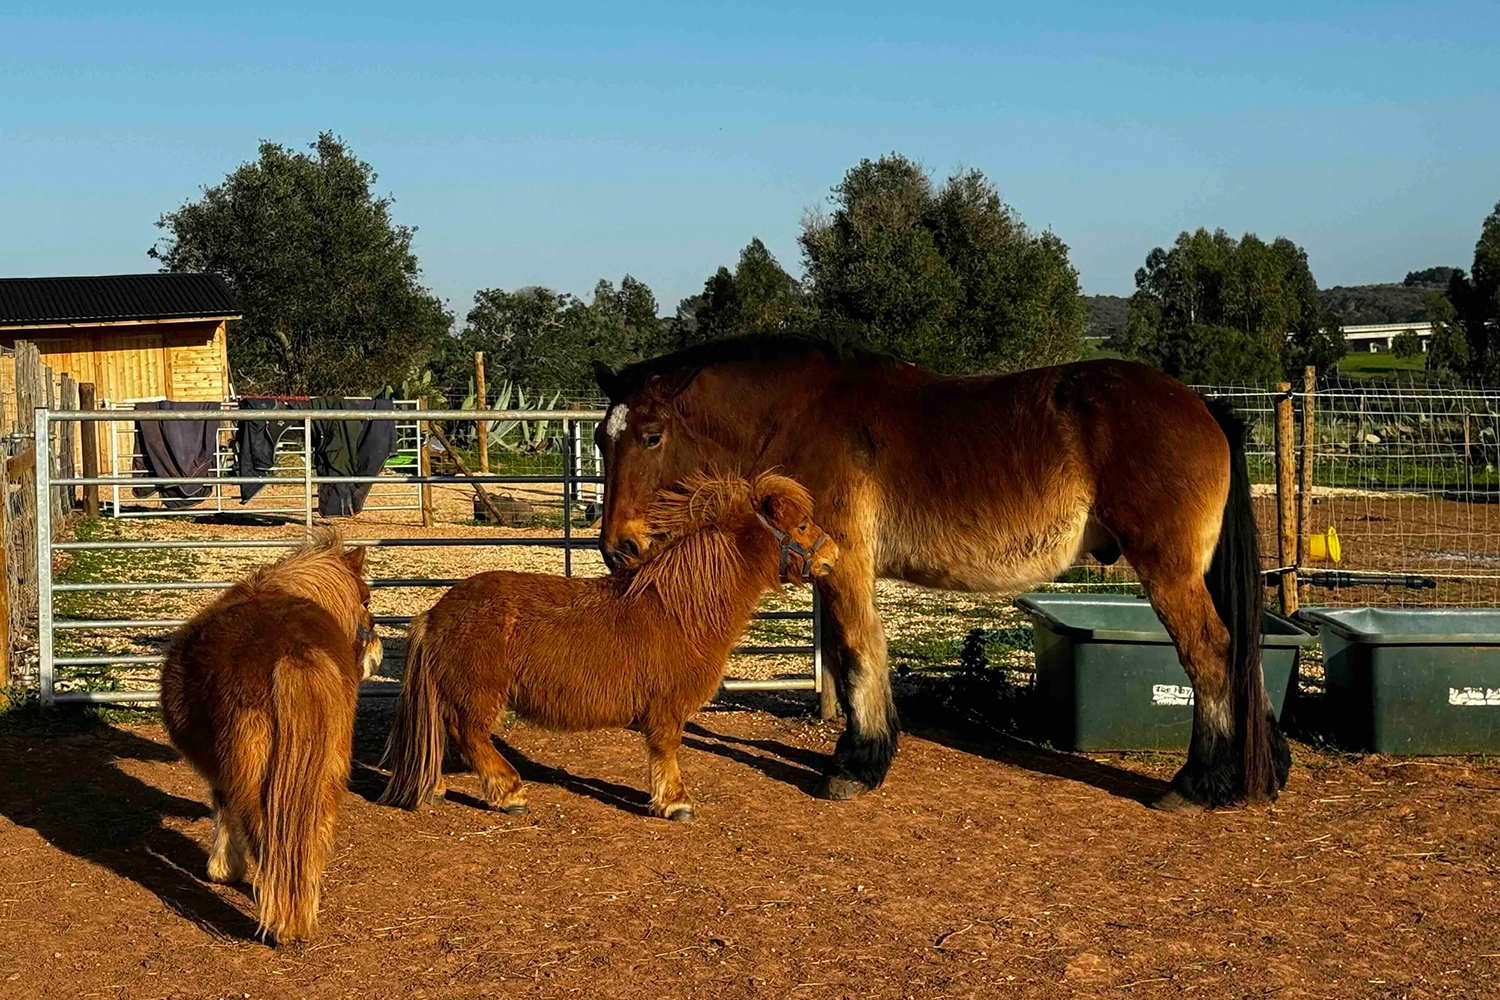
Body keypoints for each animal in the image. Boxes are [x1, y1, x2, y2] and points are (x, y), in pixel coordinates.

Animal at [160, 530, 383, 944]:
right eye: (365, 600)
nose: (375, 655)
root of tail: (295, 651)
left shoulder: (224, 772)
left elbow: (224, 808)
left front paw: (222, 869)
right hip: (328, 769)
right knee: (311, 833)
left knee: (266, 834)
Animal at [378, 471, 838, 822]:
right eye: (801, 525)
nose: (832, 555)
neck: (682, 607)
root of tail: (435, 613)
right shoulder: (666, 707)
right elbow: (666, 749)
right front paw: (675, 803)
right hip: (478, 695)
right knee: (470, 736)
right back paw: (509, 794)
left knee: (442, 732)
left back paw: (436, 787)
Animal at [590, 336, 1288, 813]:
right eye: (600, 439)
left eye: (651, 436)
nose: (618, 547)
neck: (801, 415)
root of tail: (1203, 406)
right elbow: (853, 656)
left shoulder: (845, 564)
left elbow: (857, 657)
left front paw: (857, 766)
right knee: (1241, 650)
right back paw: (1265, 767)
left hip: (1170, 573)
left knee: (1210, 652)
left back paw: (1197, 782)